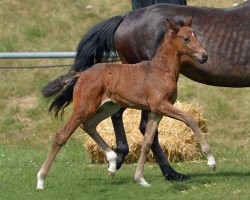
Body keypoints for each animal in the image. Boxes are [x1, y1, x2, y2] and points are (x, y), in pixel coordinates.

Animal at [36, 17, 215, 189]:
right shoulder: (161, 105)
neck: (161, 70)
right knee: (62, 135)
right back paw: (41, 180)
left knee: (89, 125)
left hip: (108, 107)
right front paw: (211, 160)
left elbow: (147, 142)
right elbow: (190, 119)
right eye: (186, 38)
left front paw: (140, 179)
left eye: (195, 35)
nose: (204, 56)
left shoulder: (156, 111)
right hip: (84, 107)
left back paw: (112, 161)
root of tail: (82, 74)